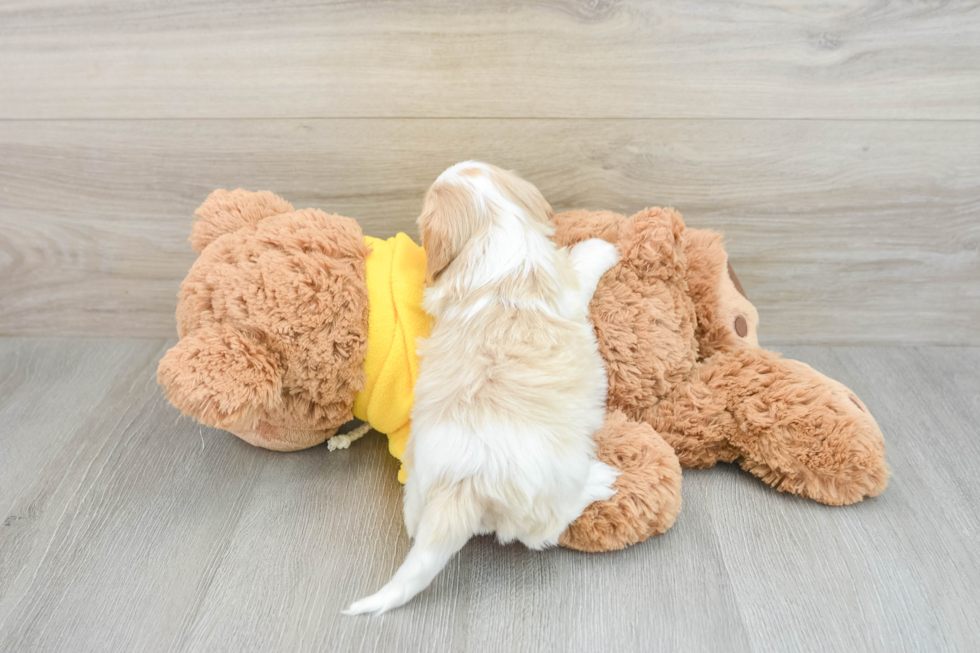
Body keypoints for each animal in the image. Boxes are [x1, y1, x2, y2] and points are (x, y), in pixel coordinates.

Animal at [346, 160, 620, 612]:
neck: (494, 227)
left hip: (418, 476)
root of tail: (461, 486)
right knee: (546, 528)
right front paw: (602, 247)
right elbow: (583, 263)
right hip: (554, 486)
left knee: (414, 520)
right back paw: (599, 480)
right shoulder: (568, 285)